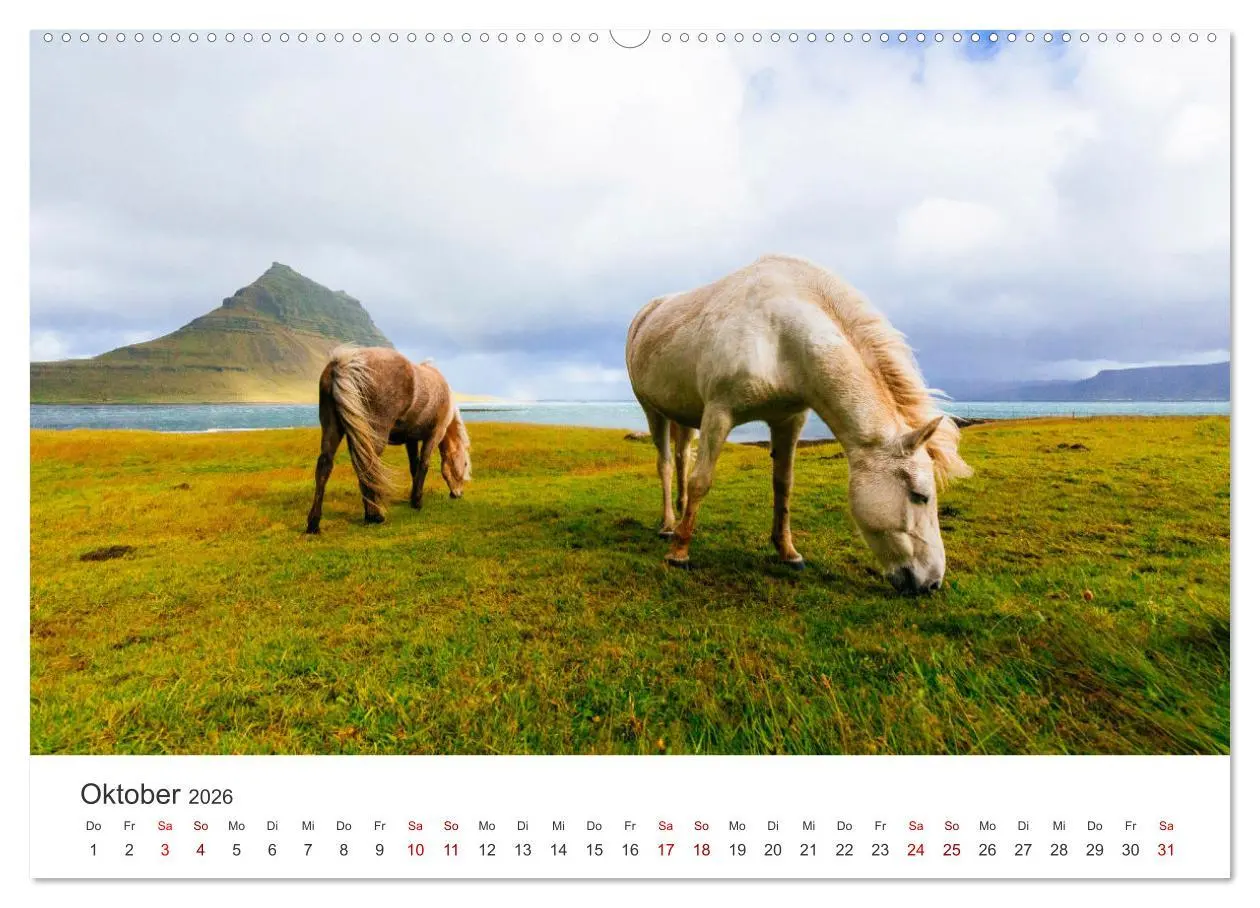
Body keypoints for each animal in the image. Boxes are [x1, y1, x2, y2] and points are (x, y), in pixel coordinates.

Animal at [304, 345, 471, 533]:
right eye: (465, 464)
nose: (458, 493)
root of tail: (345, 364)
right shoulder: (434, 434)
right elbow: (424, 464)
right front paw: (417, 501)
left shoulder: (411, 439)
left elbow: (414, 466)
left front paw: (412, 498)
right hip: (375, 434)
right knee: (368, 466)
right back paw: (374, 515)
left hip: (333, 428)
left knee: (325, 465)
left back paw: (314, 523)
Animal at [625, 254, 971, 594]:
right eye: (919, 496)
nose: (932, 582)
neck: (779, 335)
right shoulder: (718, 414)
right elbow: (702, 481)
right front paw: (679, 553)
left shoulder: (789, 420)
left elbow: (783, 486)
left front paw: (787, 552)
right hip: (653, 410)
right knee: (666, 464)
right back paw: (669, 526)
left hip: (684, 416)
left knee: (682, 458)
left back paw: (681, 514)